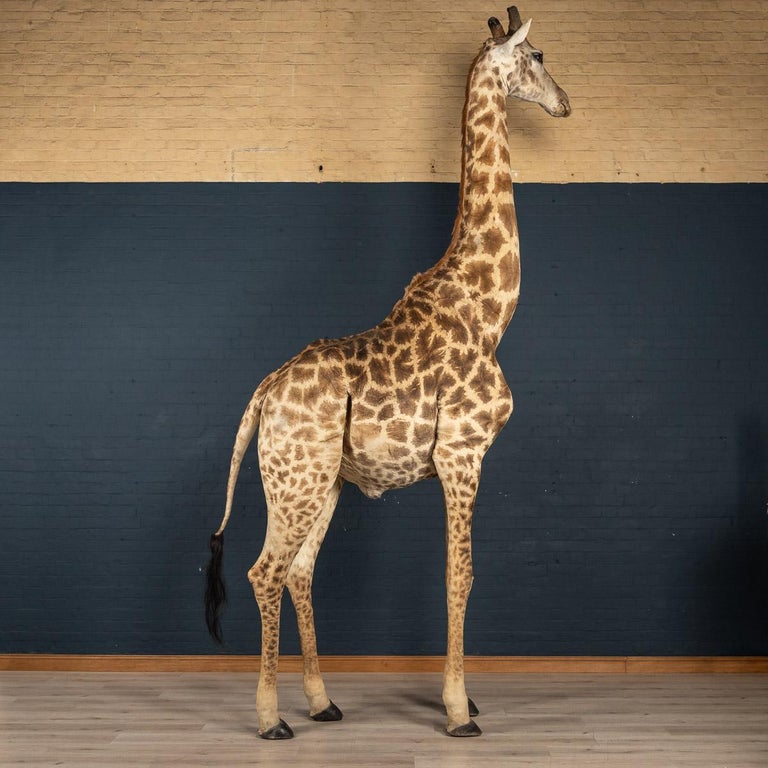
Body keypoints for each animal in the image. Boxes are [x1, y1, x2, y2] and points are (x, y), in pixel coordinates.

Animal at [205, 6, 570, 739]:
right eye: (539, 56)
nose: (565, 103)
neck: (491, 310)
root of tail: (261, 395)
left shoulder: (458, 459)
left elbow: (458, 575)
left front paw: (464, 701)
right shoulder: (463, 453)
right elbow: (461, 575)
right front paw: (459, 711)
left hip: (322, 482)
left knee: (299, 571)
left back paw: (323, 701)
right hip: (296, 479)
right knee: (265, 571)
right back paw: (271, 719)